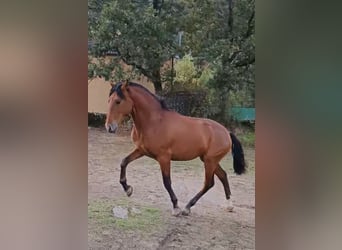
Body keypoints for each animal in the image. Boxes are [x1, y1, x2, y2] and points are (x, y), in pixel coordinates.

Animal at [105, 80, 246, 217]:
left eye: (118, 101)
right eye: (109, 100)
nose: (109, 127)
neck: (154, 122)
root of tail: (227, 132)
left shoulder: (164, 157)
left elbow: (167, 181)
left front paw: (176, 207)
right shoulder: (141, 150)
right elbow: (124, 162)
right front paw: (128, 189)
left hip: (210, 161)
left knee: (209, 183)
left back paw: (187, 207)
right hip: (208, 160)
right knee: (223, 176)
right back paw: (229, 206)